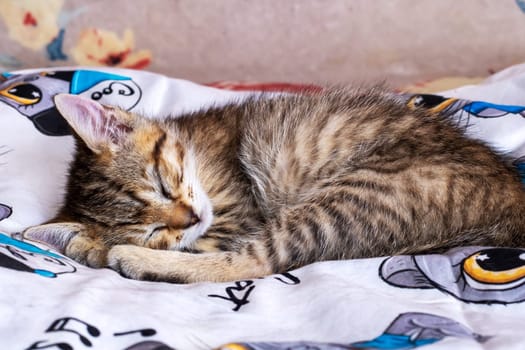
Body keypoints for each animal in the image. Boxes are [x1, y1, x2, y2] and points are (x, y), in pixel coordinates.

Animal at [23, 89, 524, 284]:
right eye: (152, 229)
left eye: (163, 185)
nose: (190, 217)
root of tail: (510, 195)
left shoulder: (235, 212)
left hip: (363, 192)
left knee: (259, 261)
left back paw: (131, 260)